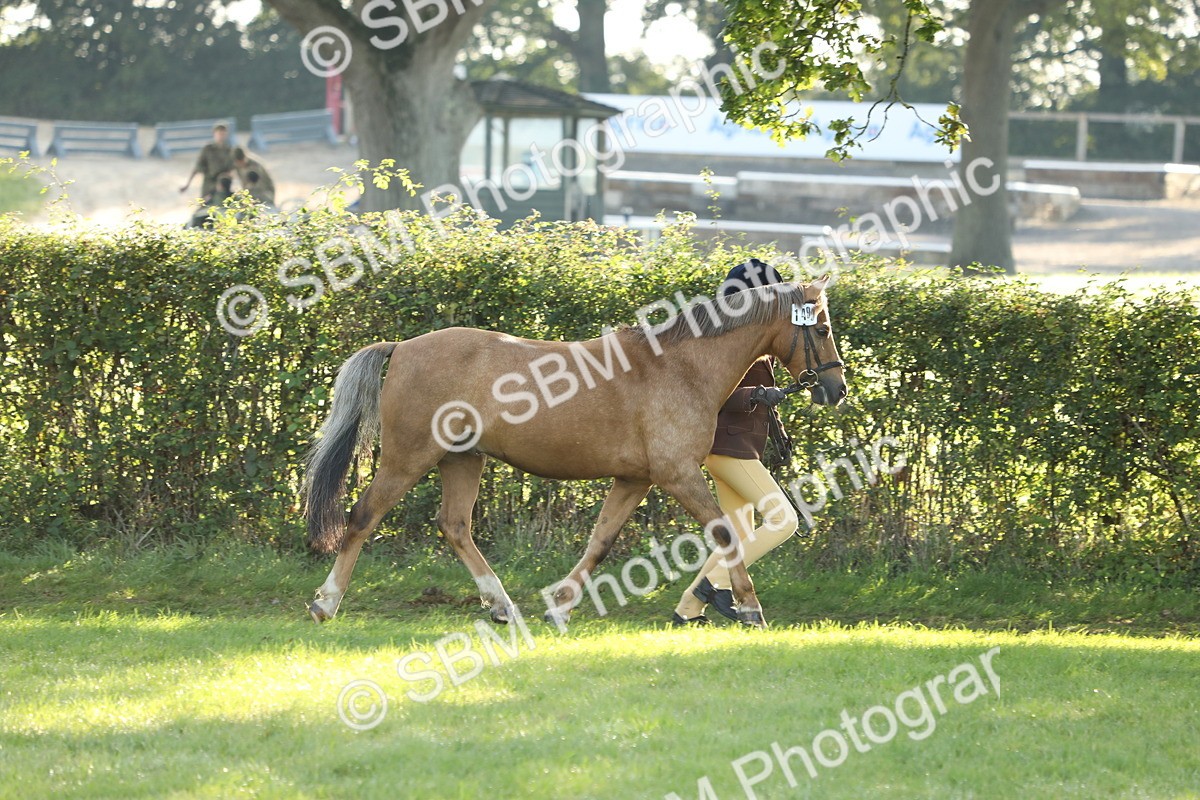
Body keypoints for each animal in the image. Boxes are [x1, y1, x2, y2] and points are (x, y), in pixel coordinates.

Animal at [302, 274, 847, 629]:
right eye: (820, 329)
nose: (836, 389)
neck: (680, 367)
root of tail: (402, 346)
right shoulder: (678, 474)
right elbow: (724, 533)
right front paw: (750, 607)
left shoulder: (635, 479)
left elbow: (600, 542)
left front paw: (560, 605)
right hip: (408, 458)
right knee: (363, 516)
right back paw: (326, 602)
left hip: (463, 459)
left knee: (455, 526)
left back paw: (501, 605)